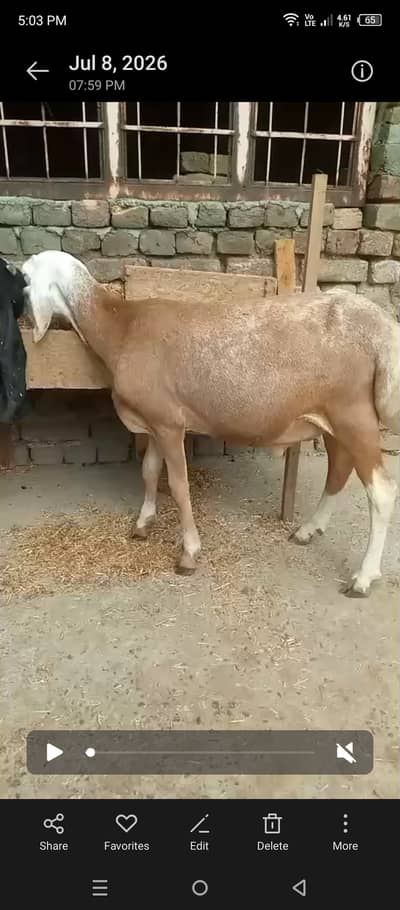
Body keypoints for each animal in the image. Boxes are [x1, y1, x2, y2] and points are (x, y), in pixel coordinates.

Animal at [21, 249, 399, 596]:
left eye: (23, 278)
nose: (23, 316)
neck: (122, 327)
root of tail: (381, 324)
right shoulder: (155, 419)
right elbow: (149, 471)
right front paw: (143, 523)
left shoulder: (169, 423)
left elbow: (178, 485)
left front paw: (189, 553)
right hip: (331, 417)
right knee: (340, 469)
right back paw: (309, 530)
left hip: (353, 414)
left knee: (380, 492)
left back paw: (363, 577)